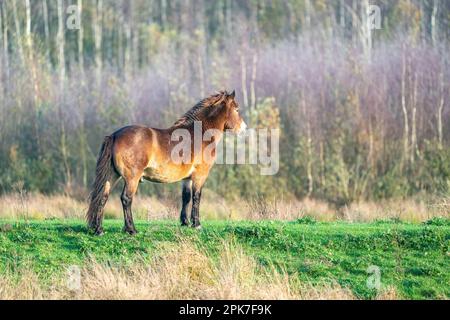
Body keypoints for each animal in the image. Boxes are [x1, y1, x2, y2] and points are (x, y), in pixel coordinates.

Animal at [85, 90, 244, 235]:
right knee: (126, 198)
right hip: (132, 178)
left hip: (111, 176)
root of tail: (115, 135)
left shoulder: (187, 178)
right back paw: (131, 229)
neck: (198, 135)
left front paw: (185, 222)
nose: (243, 128)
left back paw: (99, 229)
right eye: (236, 109)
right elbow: (196, 197)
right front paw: (197, 224)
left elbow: (186, 197)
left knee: (102, 197)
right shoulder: (200, 175)